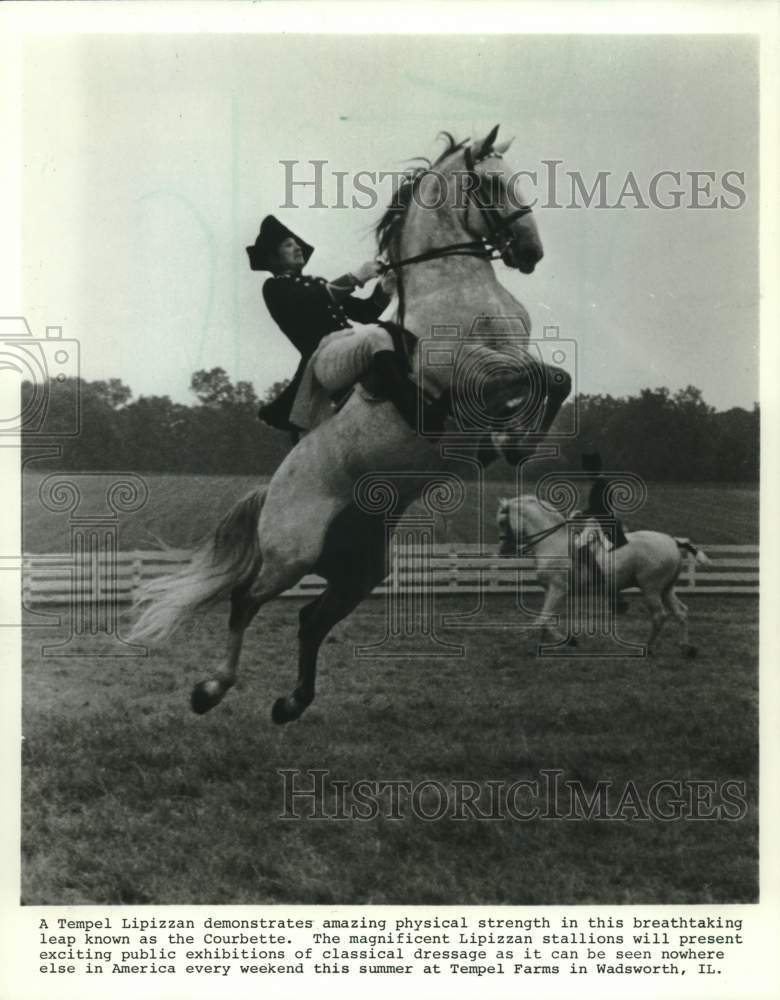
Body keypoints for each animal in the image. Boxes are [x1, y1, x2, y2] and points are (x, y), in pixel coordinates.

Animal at [496, 498, 708, 656]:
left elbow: (541, 620)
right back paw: (686, 647)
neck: (552, 543)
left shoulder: (558, 589)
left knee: (659, 615)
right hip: (666, 589)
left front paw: (565, 641)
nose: (503, 551)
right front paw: (553, 643)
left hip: (651, 588)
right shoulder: (553, 590)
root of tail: (673, 541)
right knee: (681, 612)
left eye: (502, 522)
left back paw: (648, 648)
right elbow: (545, 621)